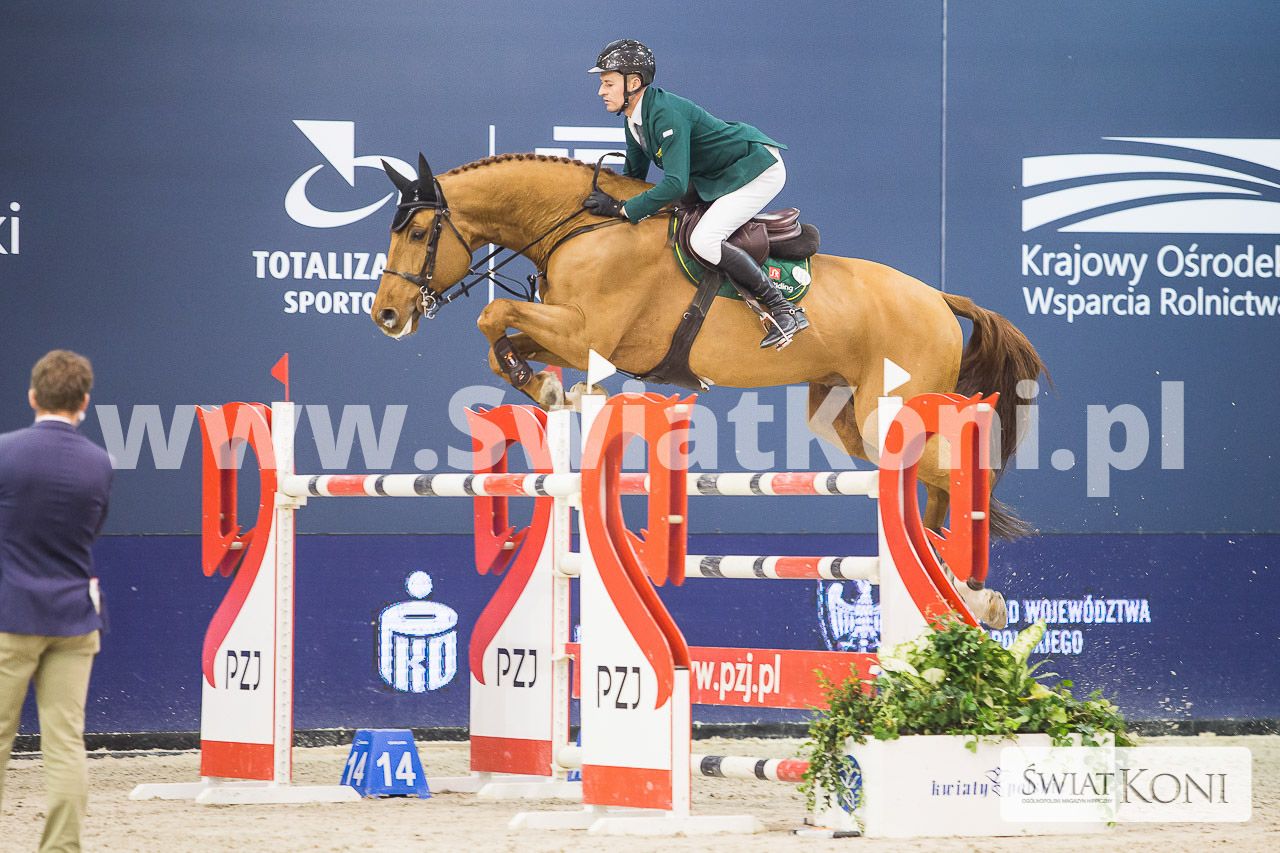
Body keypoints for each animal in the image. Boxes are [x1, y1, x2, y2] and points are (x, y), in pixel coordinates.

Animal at [370, 153, 1047, 627]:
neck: (583, 226)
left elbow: (493, 315)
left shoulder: (587, 333)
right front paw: (542, 386)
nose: (386, 316)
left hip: (885, 412)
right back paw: (952, 581)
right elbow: (501, 335)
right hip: (845, 419)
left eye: (418, 233)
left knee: (958, 467)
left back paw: (975, 592)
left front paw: (539, 383)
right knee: (928, 481)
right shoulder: (571, 338)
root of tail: (938, 298)